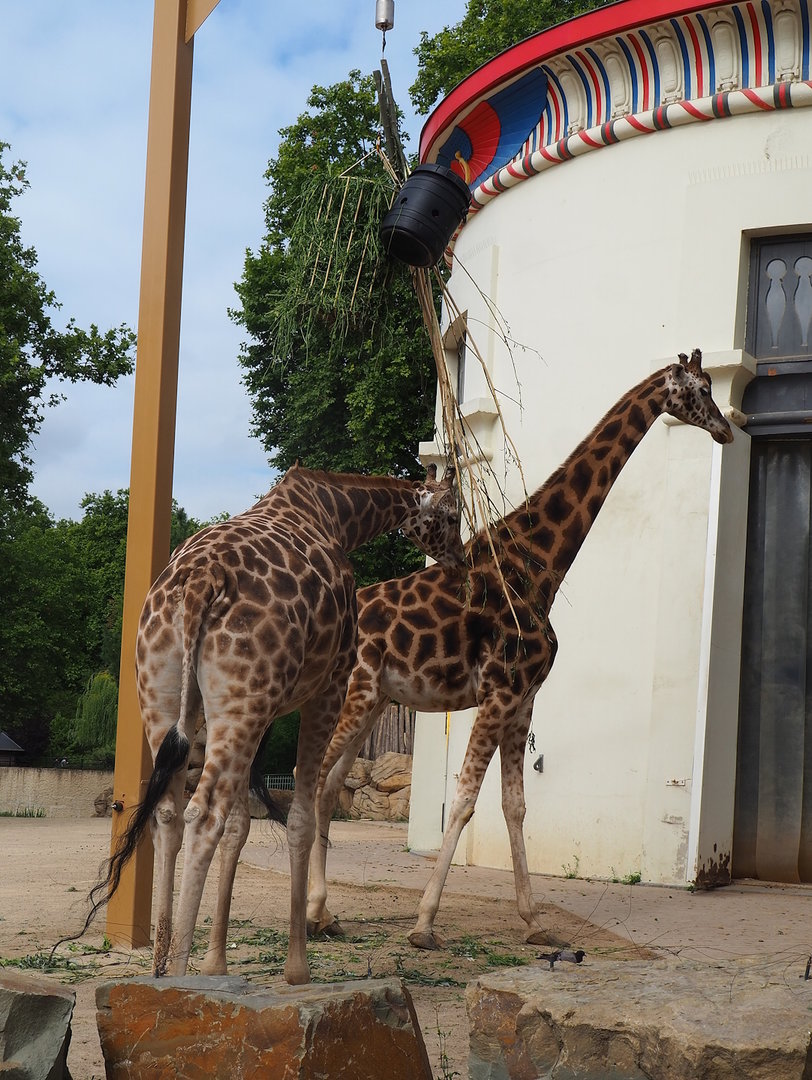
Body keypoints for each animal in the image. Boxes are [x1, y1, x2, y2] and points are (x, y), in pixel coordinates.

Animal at [93, 463, 464, 986]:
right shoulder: (330, 683)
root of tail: (198, 582)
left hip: (166, 693)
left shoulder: (264, 708)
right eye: (452, 515)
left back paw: (161, 968)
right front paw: (297, 967)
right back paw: (181, 972)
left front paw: (218, 965)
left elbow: (241, 825)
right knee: (201, 814)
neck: (338, 515)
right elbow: (300, 817)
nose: (460, 561)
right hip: (240, 697)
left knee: (167, 812)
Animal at [306, 350, 734, 950]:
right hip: (357, 694)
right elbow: (464, 800)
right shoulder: (500, 693)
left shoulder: (525, 699)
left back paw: (322, 914)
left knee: (327, 787)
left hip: (372, 702)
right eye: (699, 389)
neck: (540, 566)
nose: (727, 429)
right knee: (311, 782)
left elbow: (515, 805)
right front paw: (424, 924)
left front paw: (534, 923)